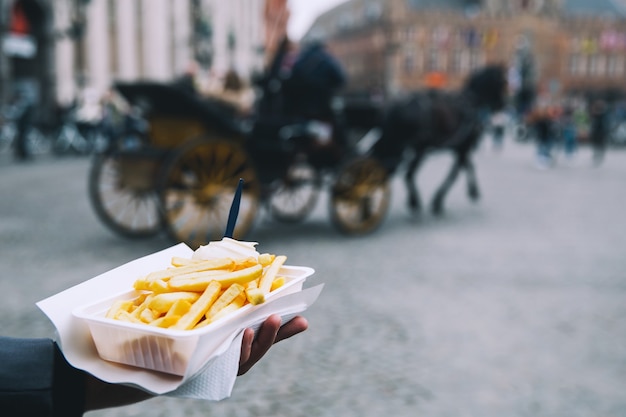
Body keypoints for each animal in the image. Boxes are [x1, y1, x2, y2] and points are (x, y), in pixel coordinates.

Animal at [370, 65, 508, 216]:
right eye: (502, 83)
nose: (502, 105)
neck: (471, 101)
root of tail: (396, 105)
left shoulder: (460, 147)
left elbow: (468, 166)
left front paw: (473, 190)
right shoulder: (464, 146)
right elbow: (455, 174)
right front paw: (438, 201)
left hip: (397, 145)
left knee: (388, 167)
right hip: (419, 149)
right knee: (406, 173)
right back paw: (413, 201)